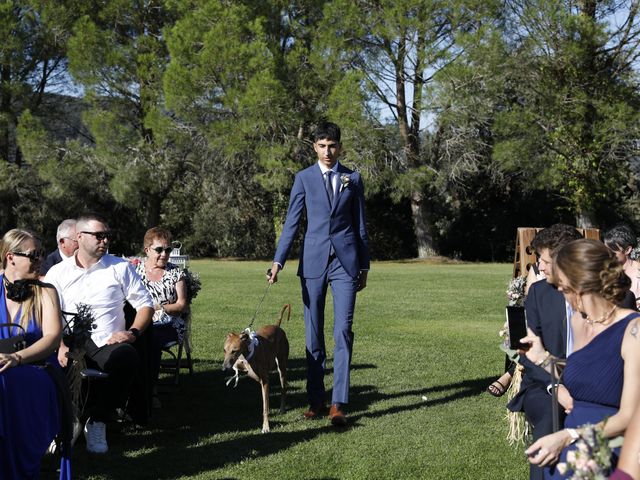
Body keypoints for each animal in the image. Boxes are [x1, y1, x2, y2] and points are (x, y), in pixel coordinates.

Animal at [221, 306, 288, 434]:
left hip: (282, 366)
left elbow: (265, 407)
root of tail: (277, 326)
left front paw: (266, 427)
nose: (224, 368)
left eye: (234, 351)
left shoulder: (265, 380)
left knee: (283, 388)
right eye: (224, 350)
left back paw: (282, 408)